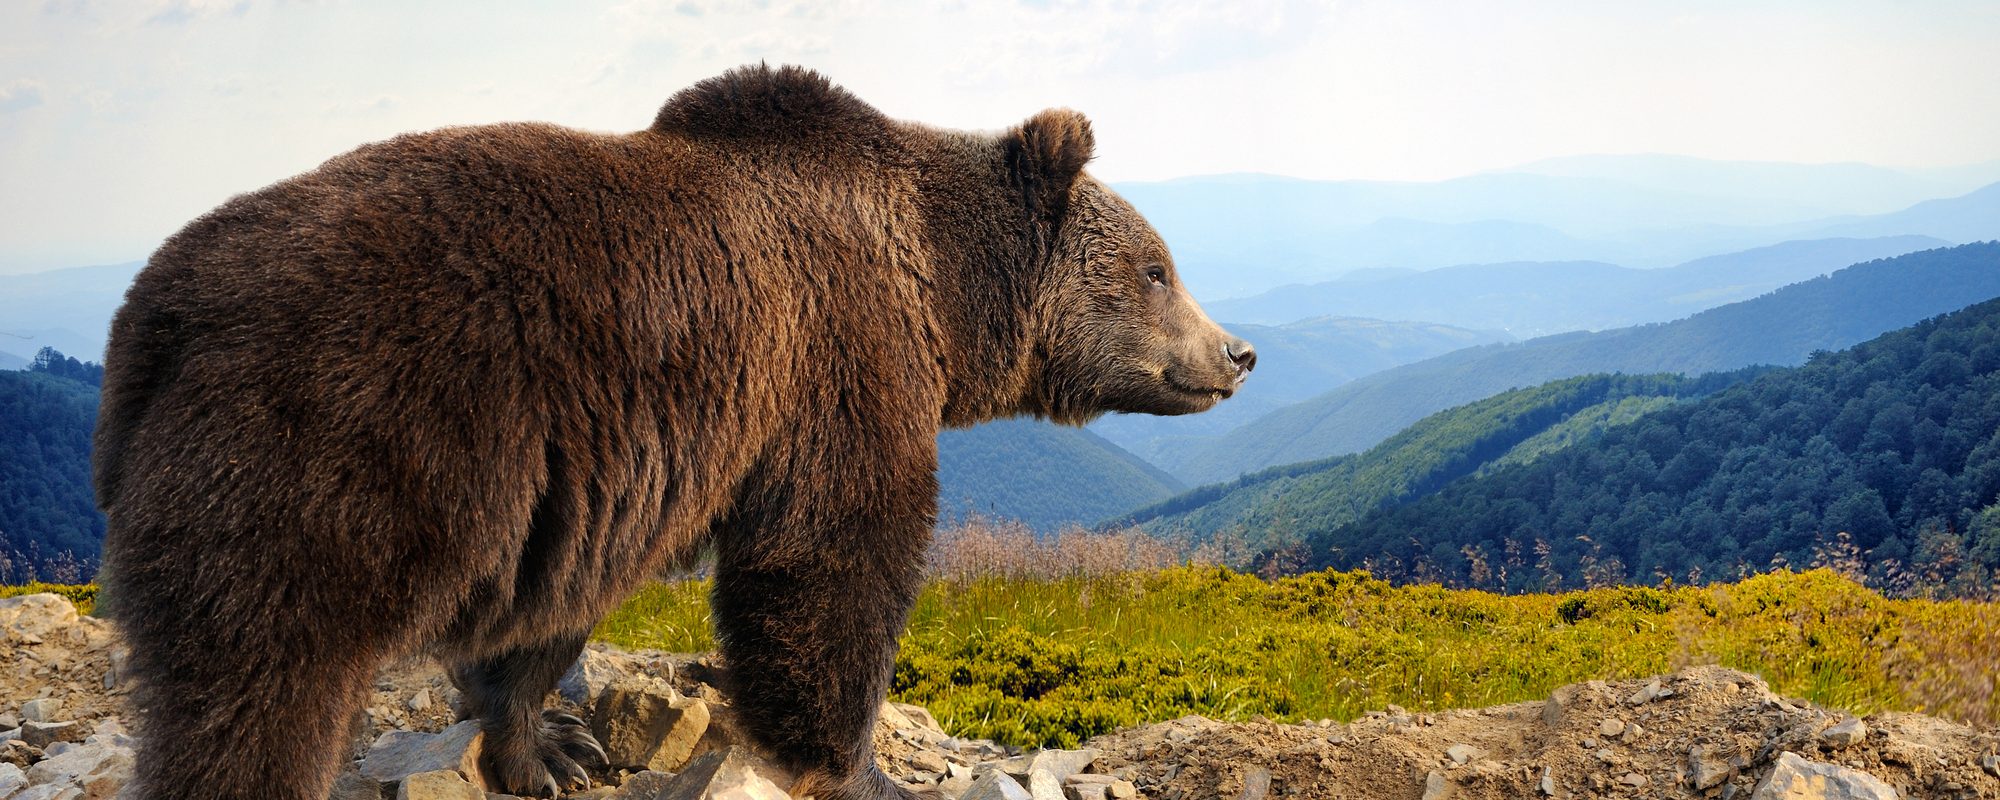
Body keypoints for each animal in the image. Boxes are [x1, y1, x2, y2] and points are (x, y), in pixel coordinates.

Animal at [94, 64, 1254, 800]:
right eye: (1157, 267)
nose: (1236, 353)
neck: (941, 288)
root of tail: (155, 310)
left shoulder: (595, 473)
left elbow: (550, 610)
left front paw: (551, 743)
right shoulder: (835, 359)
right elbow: (833, 557)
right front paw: (862, 764)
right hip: (326, 447)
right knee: (261, 688)